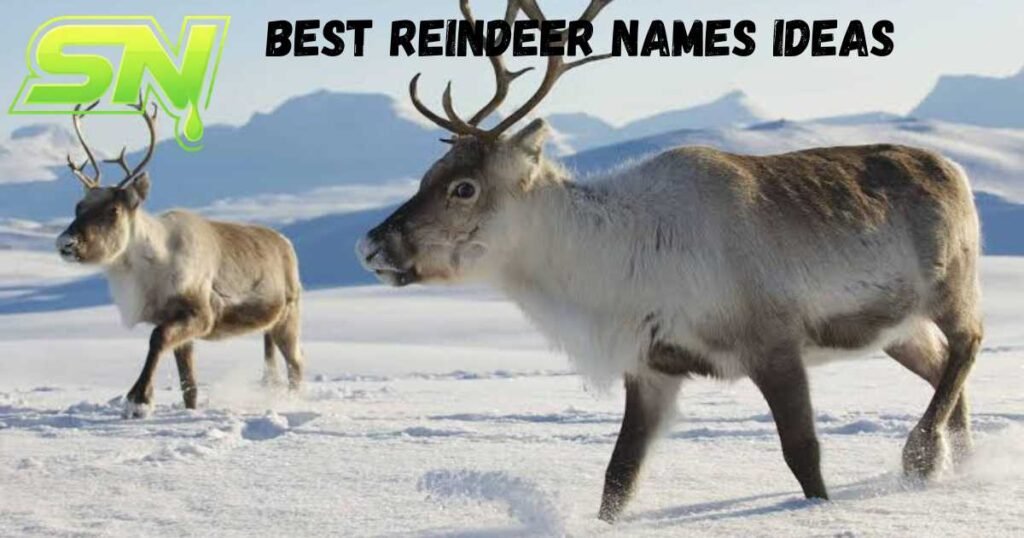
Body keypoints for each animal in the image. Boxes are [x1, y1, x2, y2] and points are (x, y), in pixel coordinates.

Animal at [55, 100, 304, 419]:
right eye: (78, 206)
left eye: (113, 210)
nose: (66, 243)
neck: (152, 269)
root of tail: (286, 244)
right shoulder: (175, 321)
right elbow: (189, 385)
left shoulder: (201, 314)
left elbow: (157, 338)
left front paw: (138, 399)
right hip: (270, 327)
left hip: (289, 315)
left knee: (297, 365)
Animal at [357, 0, 983, 523]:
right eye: (426, 176)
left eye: (463, 188)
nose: (370, 245)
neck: (612, 266)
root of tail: (953, 169)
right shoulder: (653, 367)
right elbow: (618, 477)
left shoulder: (772, 342)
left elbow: (803, 454)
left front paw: (819, 512)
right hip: (895, 328)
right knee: (941, 369)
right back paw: (961, 464)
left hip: (950, 285)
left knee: (967, 343)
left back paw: (922, 456)